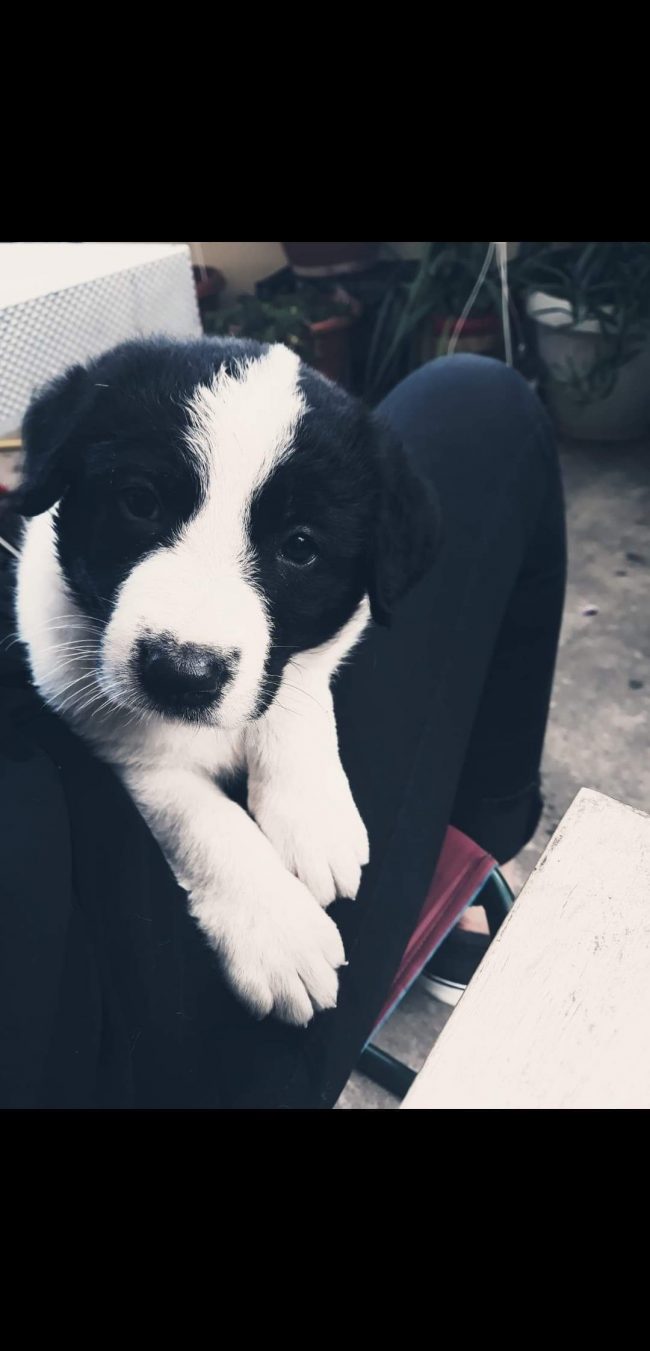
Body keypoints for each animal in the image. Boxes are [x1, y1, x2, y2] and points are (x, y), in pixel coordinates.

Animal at [13, 337, 439, 1025]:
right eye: (139, 503)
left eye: (300, 547)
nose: (180, 675)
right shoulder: (109, 733)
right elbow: (200, 819)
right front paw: (278, 930)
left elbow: (297, 688)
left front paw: (309, 813)